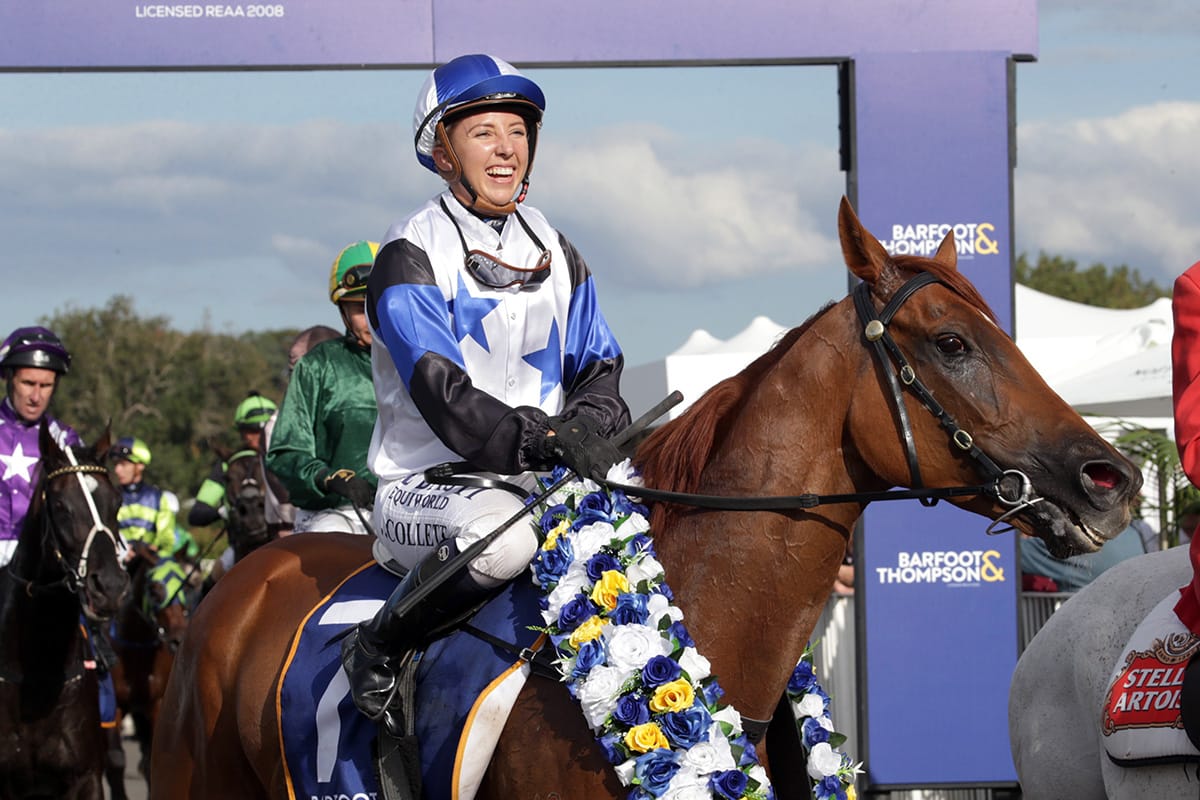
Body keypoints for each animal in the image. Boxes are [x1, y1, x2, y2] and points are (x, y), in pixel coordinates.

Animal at [108, 554, 191, 793]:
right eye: (154, 590)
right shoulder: (114, 705)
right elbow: (115, 761)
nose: (178, 637)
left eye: (186, 585)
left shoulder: (157, 703)